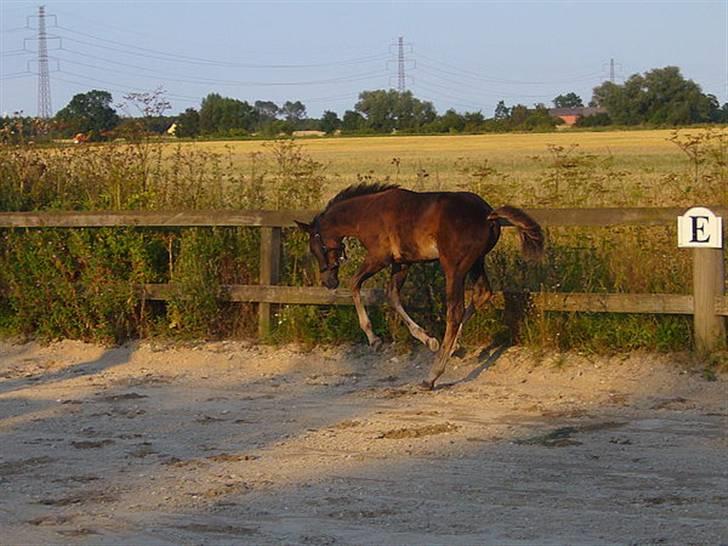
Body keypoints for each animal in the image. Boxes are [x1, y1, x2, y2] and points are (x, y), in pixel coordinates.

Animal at [294, 183, 540, 386]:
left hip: (454, 267)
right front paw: (428, 339)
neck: (366, 212)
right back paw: (451, 348)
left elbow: (354, 284)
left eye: (316, 248)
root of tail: (488, 214)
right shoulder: (402, 263)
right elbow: (392, 295)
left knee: (455, 311)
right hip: (476, 263)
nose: (328, 281)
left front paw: (374, 339)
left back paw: (432, 376)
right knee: (482, 294)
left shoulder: (379, 257)